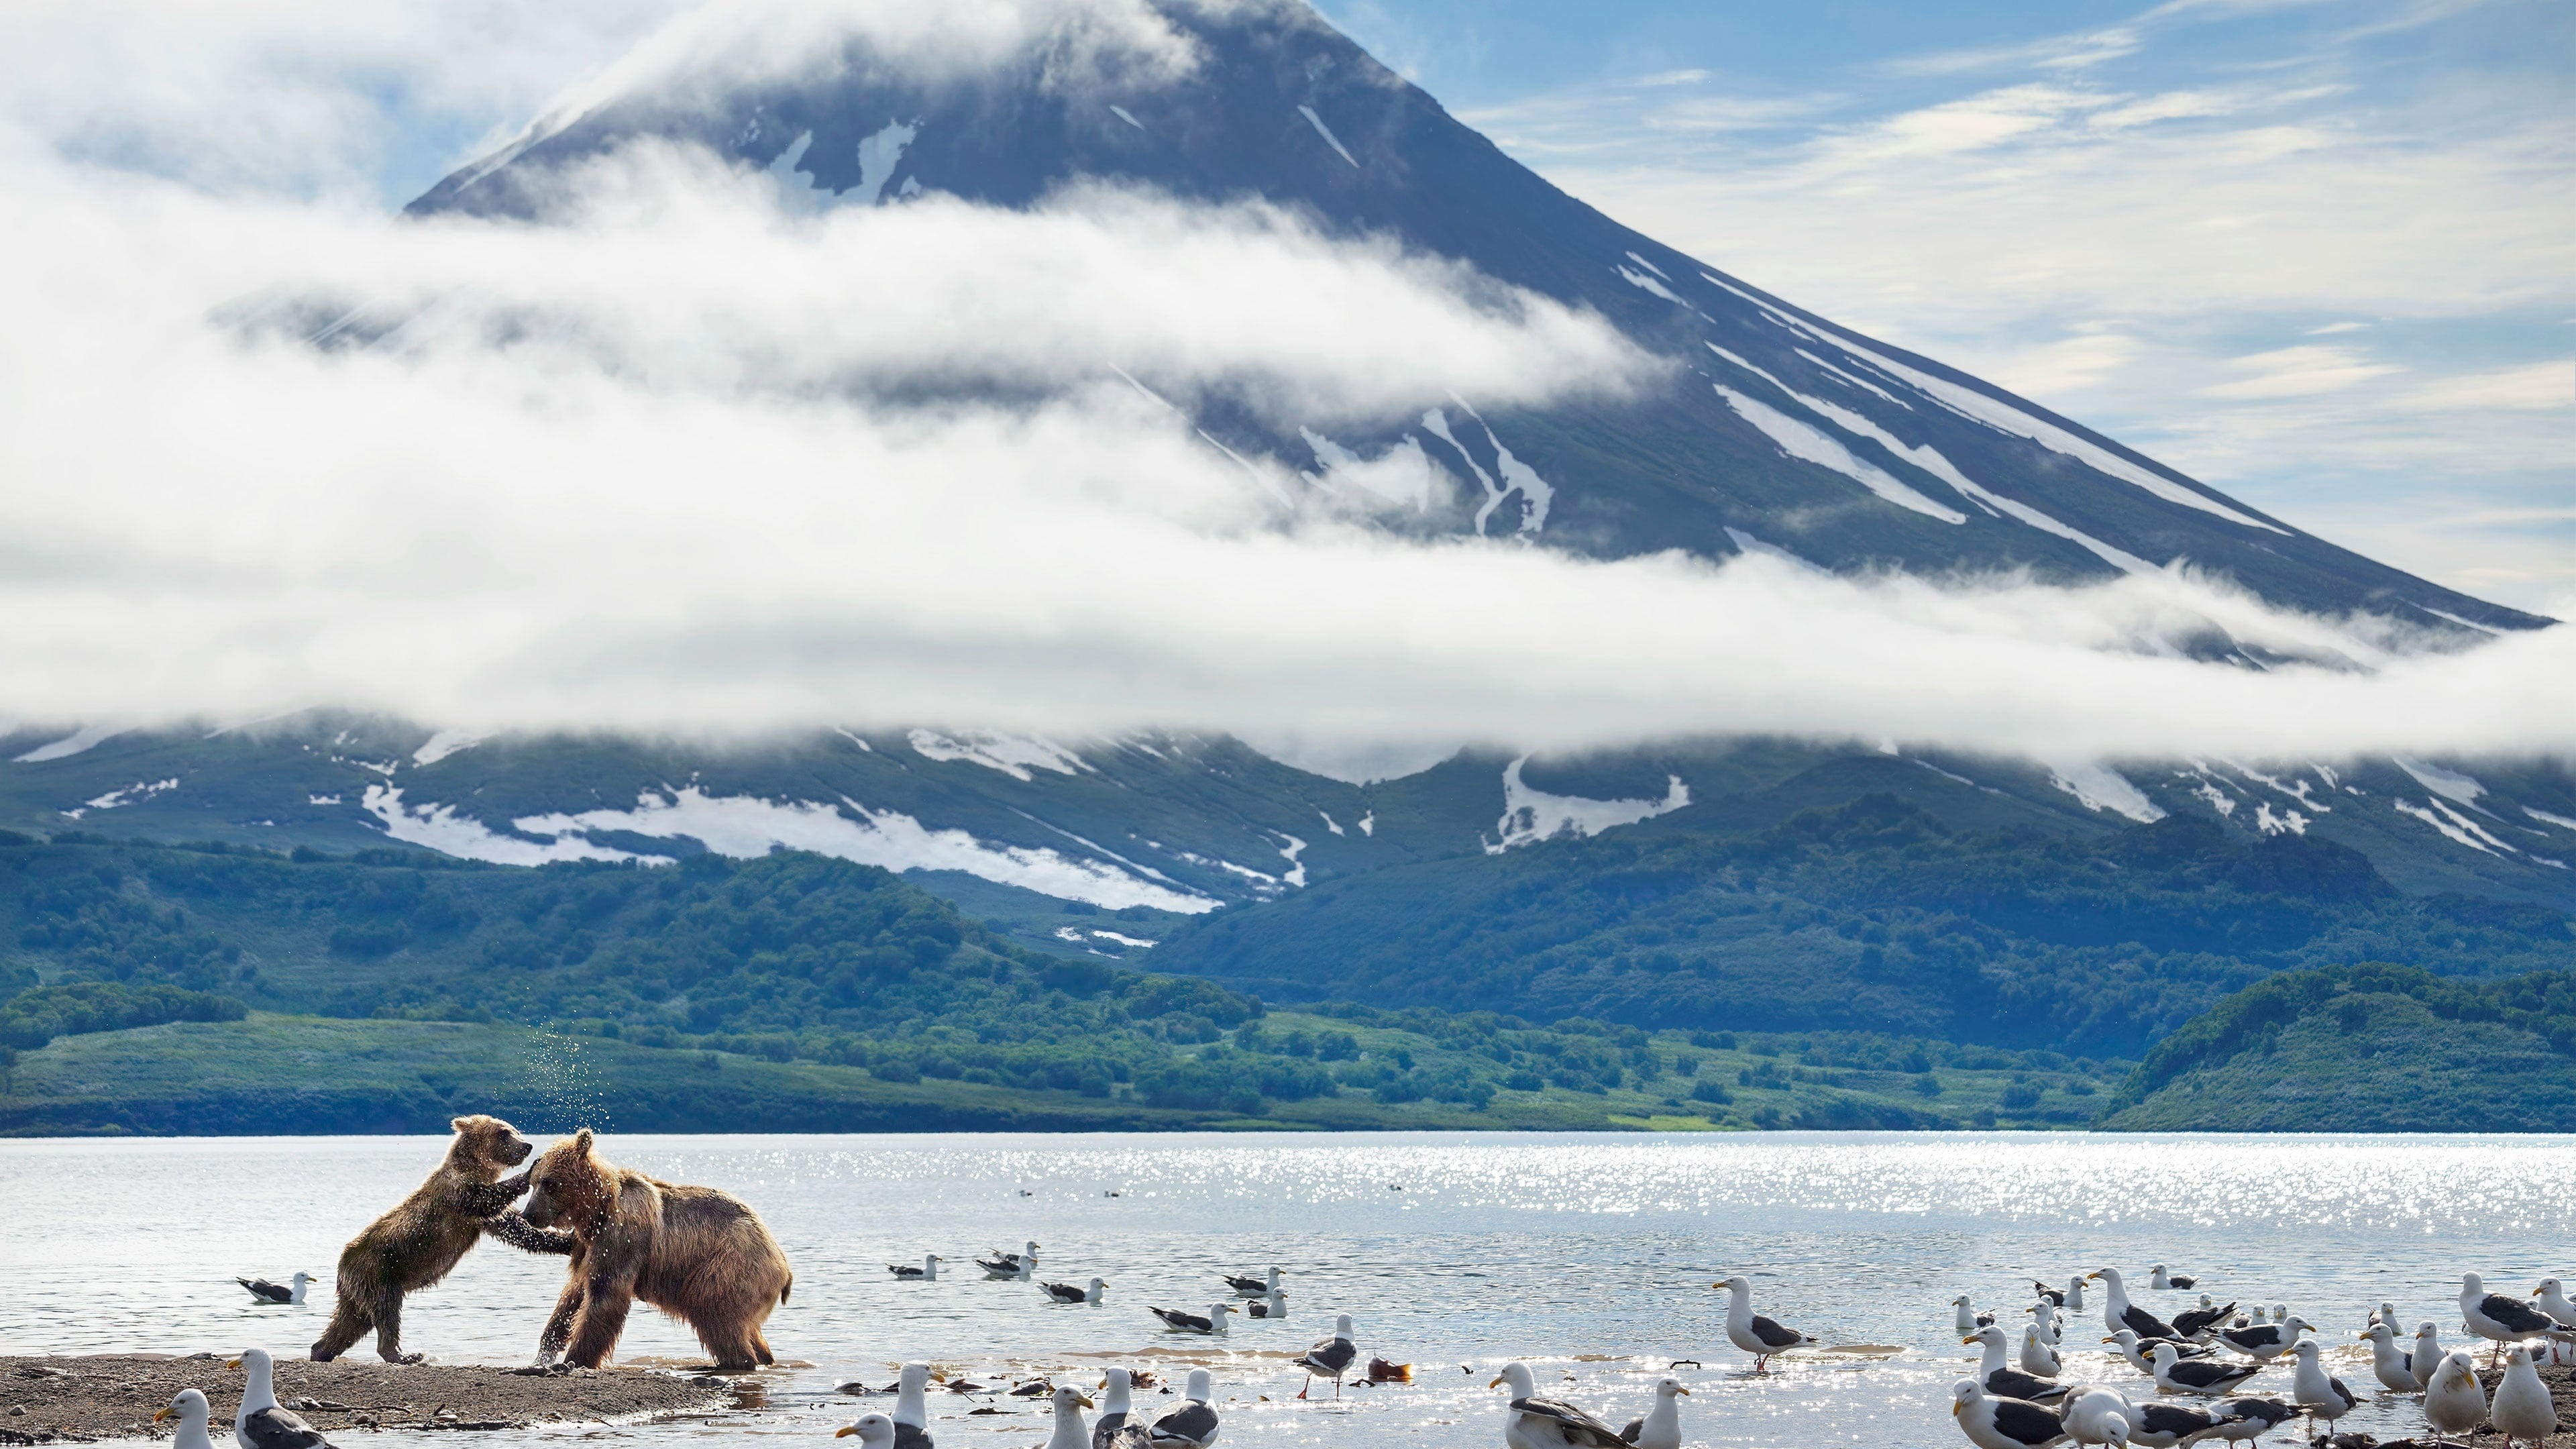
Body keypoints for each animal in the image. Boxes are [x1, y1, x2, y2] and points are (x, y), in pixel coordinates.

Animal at [311, 1114, 568, 1363]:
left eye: (515, 1130)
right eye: (504, 1132)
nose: (527, 1145)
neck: (476, 1168)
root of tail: (343, 1266)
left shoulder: (487, 1219)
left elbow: (521, 1231)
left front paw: (567, 1241)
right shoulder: (456, 1193)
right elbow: (485, 1198)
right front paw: (528, 1173)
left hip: (359, 1291)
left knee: (351, 1323)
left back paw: (320, 1351)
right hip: (380, 1273)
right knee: (387, 1313)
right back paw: (405, 1355)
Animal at [518, 1128, 794, 1371]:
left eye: (549, 1183)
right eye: (534, 1182)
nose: (529, 1214)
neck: (598, 1211)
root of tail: (782, 1263)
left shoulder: (622, 1238)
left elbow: (604, 1297)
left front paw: (574, 1359)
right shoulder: (588, 1247)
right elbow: (575, 1294)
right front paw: (546, 1350)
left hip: (730, 1264)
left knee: (716, 1313)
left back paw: (734, 1361)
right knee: (747, 1329)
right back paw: (763, 1357)